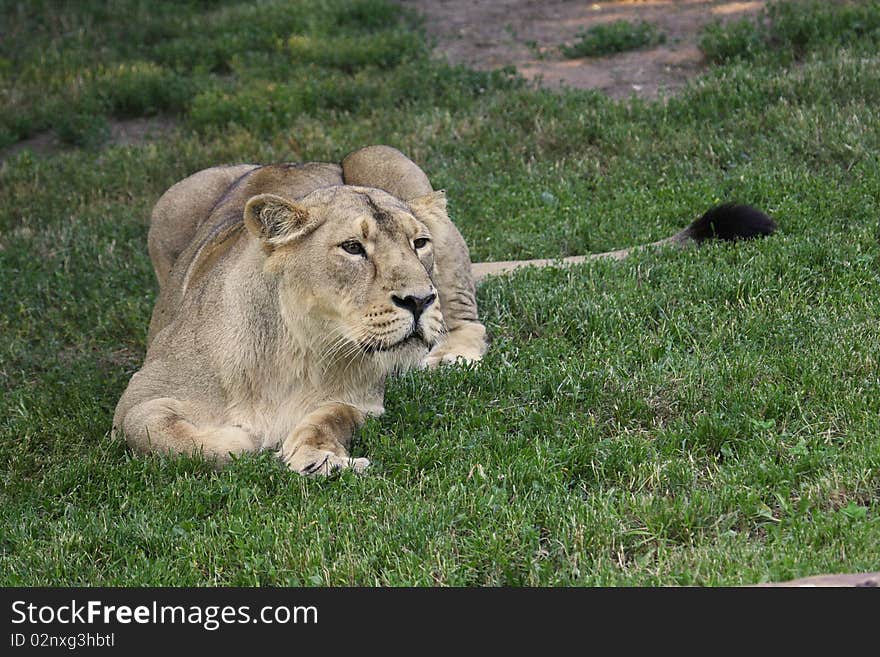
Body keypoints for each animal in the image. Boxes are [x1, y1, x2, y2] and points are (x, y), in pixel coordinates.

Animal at [111, 145, 776, 472]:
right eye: (352, 248)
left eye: (418, 244)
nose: (417, 298)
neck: (298, 348)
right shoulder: (141, 395)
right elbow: (161, 433)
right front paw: (240, 441)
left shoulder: (360, 399)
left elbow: (325, 419)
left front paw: (321, 457)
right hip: (174, 198)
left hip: (388, 159)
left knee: (470, 321)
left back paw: (447, 356)